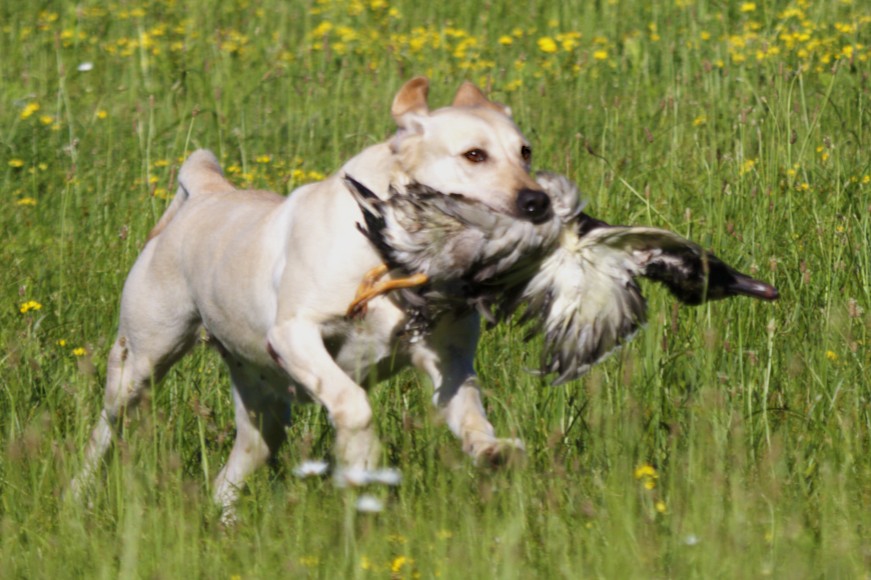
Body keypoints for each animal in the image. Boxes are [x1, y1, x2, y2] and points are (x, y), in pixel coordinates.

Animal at [73, 78, 552, 520]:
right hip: (140, 361)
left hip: (264, 412)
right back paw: (78, 495)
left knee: (231, 472)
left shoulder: (449, 361)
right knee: (105, 430)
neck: (386, 249)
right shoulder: (294, 335)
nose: (538, 201)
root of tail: (206, 190)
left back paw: (226, 526)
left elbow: (469, 411)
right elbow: (352, 402)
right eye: (474, 155)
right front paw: (361, 457)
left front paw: (491, 448)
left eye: (525, 152)